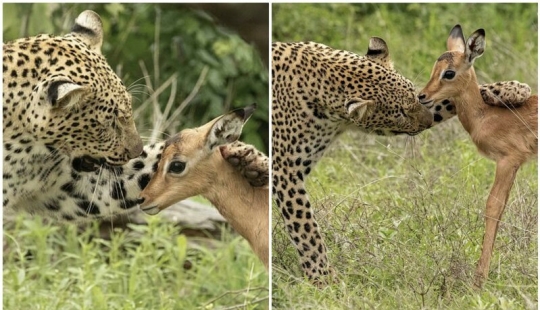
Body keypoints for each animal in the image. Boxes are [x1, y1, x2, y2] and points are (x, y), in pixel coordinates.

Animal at [272, 38, 532, 286]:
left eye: (413, 96)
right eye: (399, 114)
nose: (428, 121)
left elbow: (451, 98)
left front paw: (513, 89)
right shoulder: (284, 172)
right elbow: (306, 228)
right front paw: (324, 280)